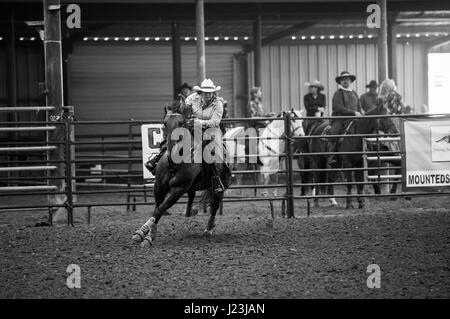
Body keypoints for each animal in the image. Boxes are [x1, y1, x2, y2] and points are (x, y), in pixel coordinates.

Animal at [131, 102, 232, 248]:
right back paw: (191, 212)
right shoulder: (159, 187)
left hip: (220, 188)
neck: (175, 163)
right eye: (164, 123)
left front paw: (148, 236)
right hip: (192, 187)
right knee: (192, 199)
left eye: (181, 123)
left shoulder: (178, 190)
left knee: (215, 206)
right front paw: (143, 232)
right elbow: (157, 208)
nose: (171, 146)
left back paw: (209, 228)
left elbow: (160, 209)